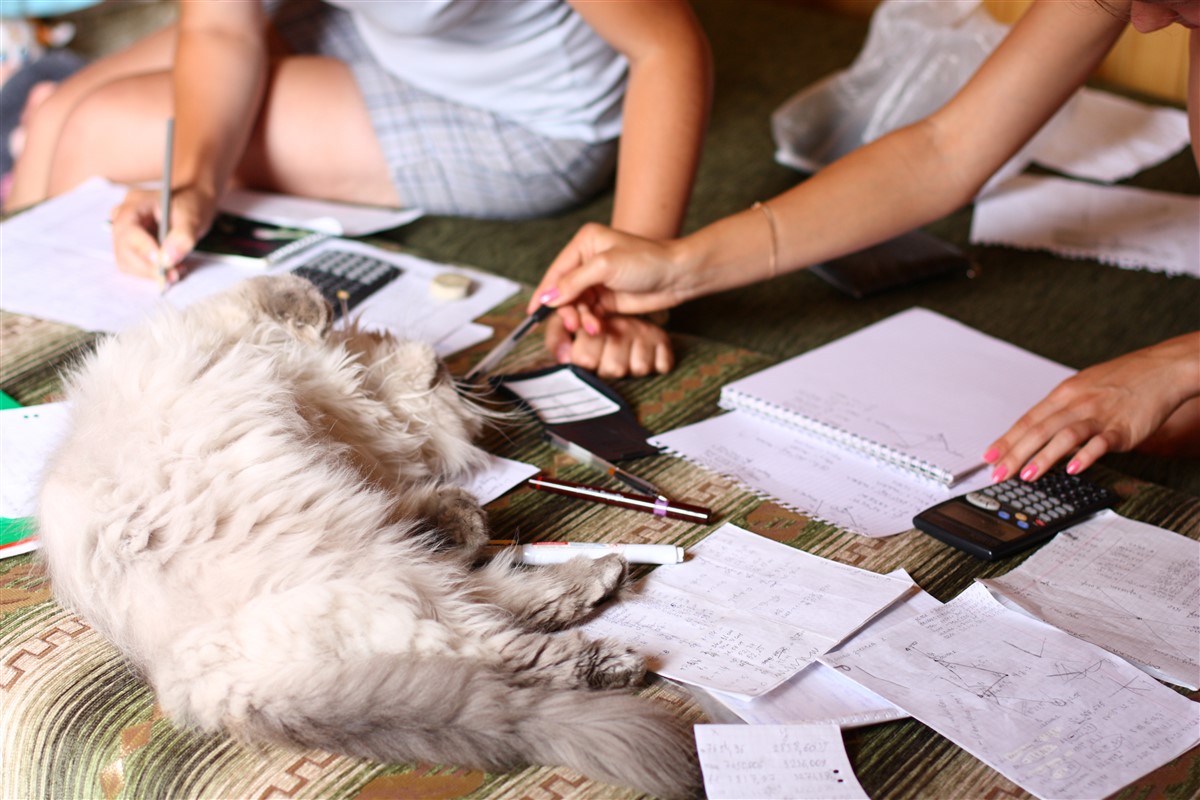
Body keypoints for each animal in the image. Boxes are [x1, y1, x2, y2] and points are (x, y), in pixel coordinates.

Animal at [37, 273, 700, 796]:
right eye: (451, 378)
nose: (461, 373)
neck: (337, 403)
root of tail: (207, 689)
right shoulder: (226, 325)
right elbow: (276, 294)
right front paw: (319, 305)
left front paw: (459, 513)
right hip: (384, 572)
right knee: (507, 643)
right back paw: (614, 652)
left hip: (386, 564)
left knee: (502, 601)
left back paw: (597, 578)